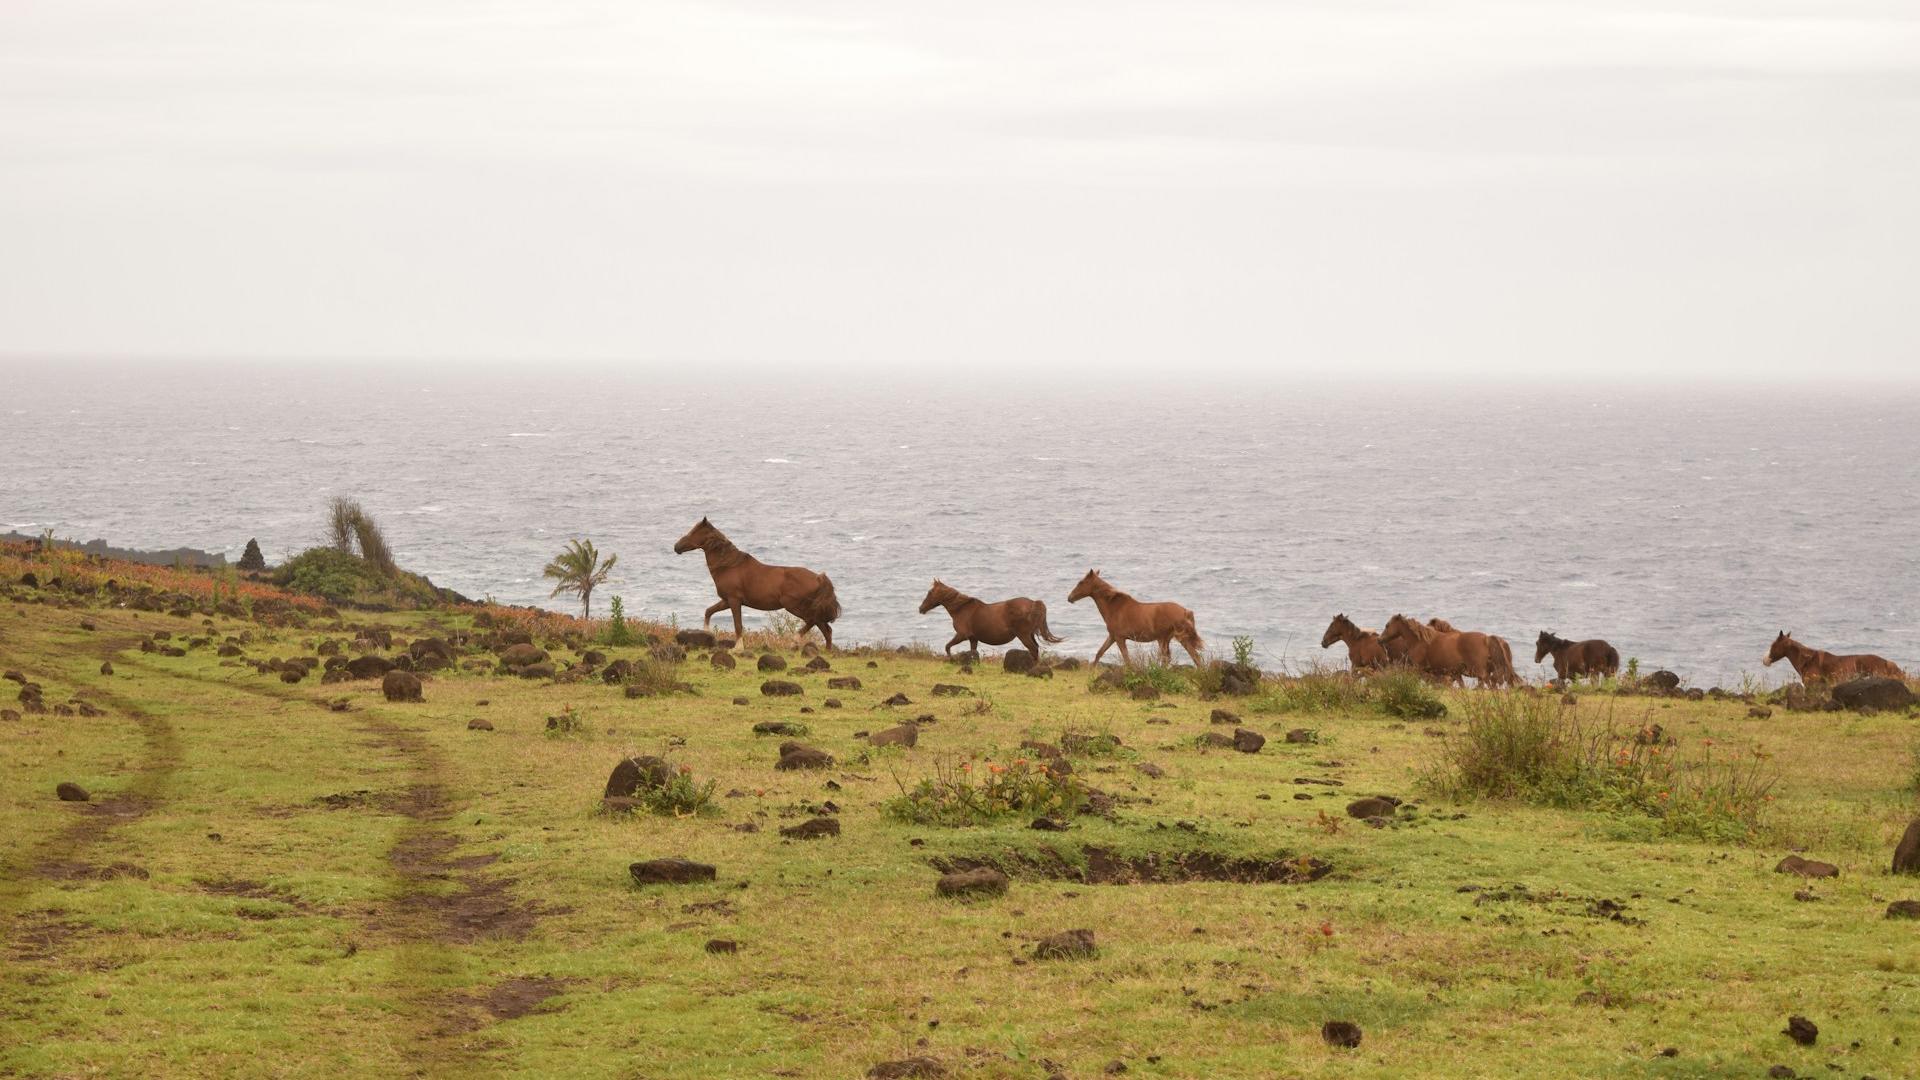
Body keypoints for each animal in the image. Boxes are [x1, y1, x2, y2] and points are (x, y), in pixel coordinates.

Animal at [672, 518, 841, 648]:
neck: (729, 565)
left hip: (794, 606)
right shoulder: (726, 600)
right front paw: (707, 631)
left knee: (813, 621)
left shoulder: (734, 600)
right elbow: (709, 611)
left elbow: (738, 625)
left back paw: (795, 640)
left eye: (694, 532)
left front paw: (738, 648)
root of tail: (818, 578)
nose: (676, 547)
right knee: (825, 629)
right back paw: (827, 651)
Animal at [918, 580, 1063, 658]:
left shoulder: (961, 635)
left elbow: (947, 647)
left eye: (929, 592)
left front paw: (951, 659)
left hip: (1023, 635)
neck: (961, 609)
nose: (921, 609)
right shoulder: (973, 638)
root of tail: (1033, 603)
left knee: (1033, 649)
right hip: (1029, 634)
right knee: (1036, 649)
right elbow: (973, 652)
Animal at [1067, 570, 1203, 667]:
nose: (1070, 598)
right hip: (1176, 639)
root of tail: (1185, 611)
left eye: (1081, 582)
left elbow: (1126, 658)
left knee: (1170, 658)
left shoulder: (1119, 638)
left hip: (1163, 639)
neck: (1114, 607)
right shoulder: (1112, 637)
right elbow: (1100, 652)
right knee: (1194, 656)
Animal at [1381, 614, 1516, 687]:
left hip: (1480, 672)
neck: (1420, 641)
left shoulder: (1418, 668)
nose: (1379, 639)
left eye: (1387, 625)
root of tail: (1486, 638)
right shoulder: (1448, 673)